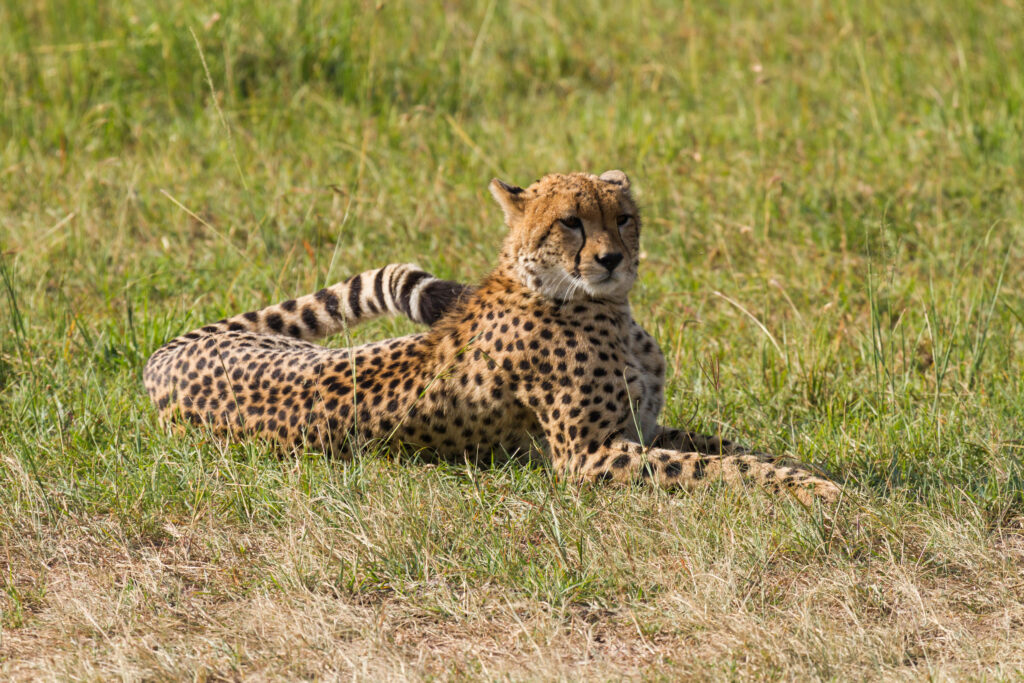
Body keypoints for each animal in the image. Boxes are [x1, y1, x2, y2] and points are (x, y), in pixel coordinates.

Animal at [144, 170, 842, 504]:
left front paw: (806, 468)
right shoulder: (589, 457)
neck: (601, 306)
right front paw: (812, 491)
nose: (612, 259)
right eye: (570, 223)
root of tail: (168, 355)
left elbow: (731, 447)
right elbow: (716, 468)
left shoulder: (642, 429)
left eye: (622, 218)